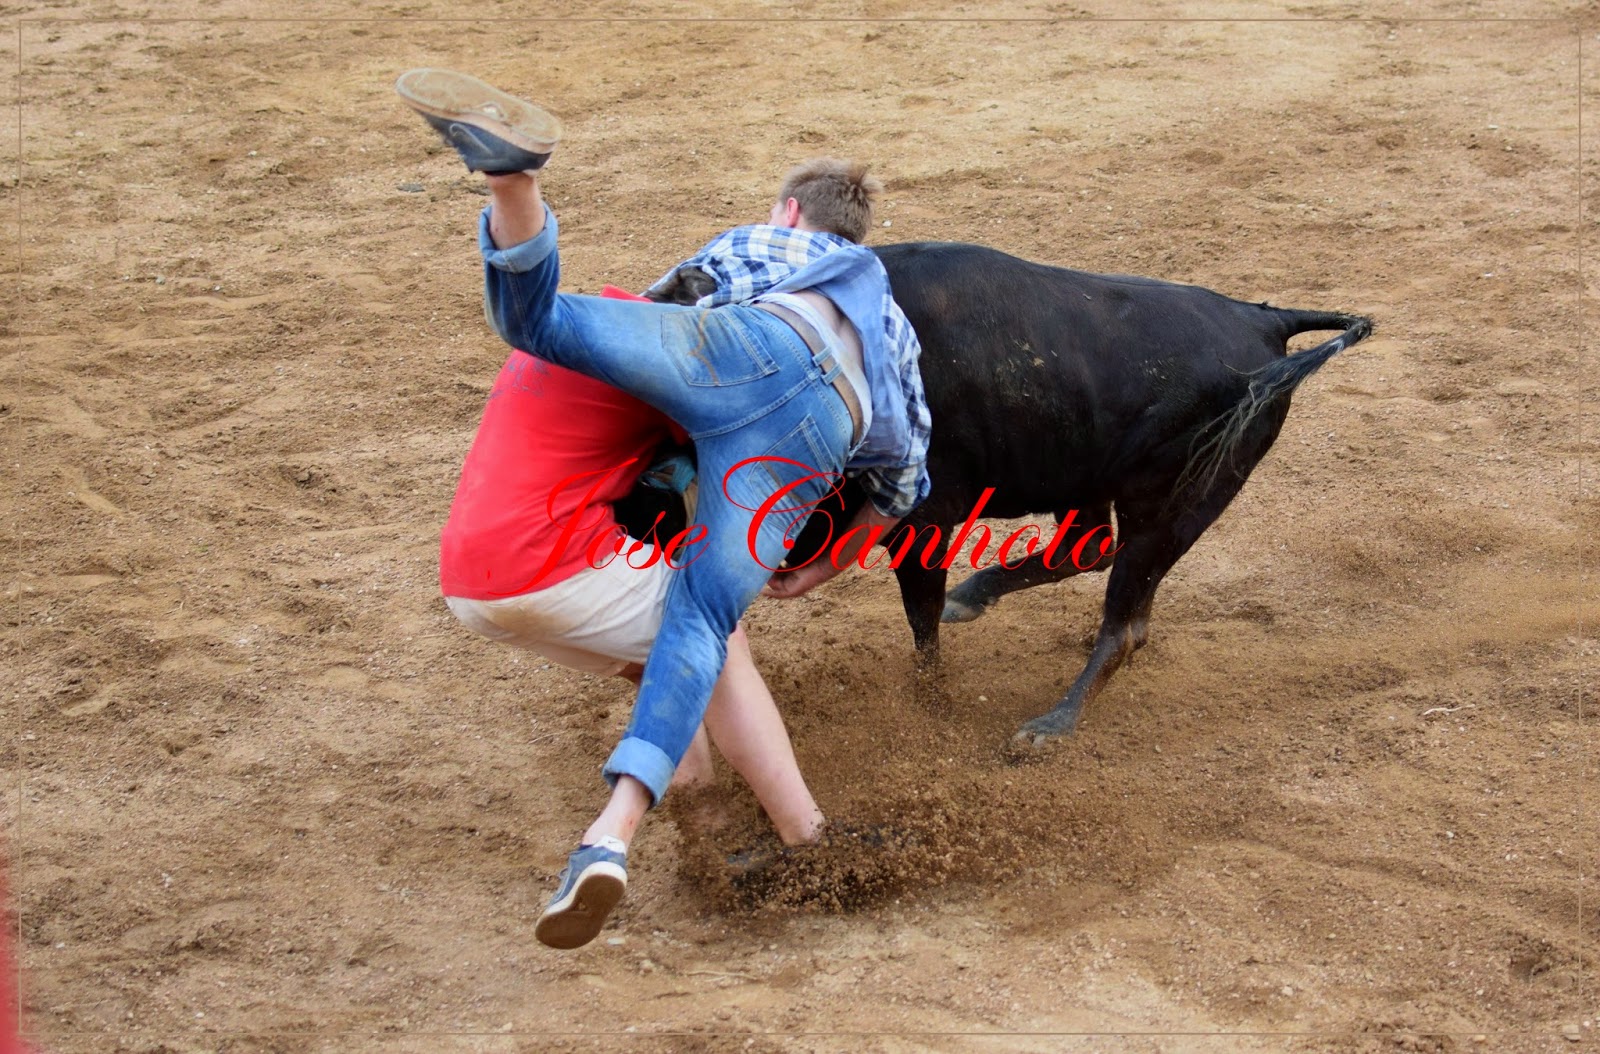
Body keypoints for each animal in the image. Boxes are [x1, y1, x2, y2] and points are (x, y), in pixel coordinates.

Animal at [632, 242, 1373, 748]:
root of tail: (1263, 323)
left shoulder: (923, 518)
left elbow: (922, 619)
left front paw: (929, 705)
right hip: (1092, 478)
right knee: (1091, 554)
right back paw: (982, 597)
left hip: (1174, 507)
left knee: (1124, 617)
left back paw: (1052, 724)